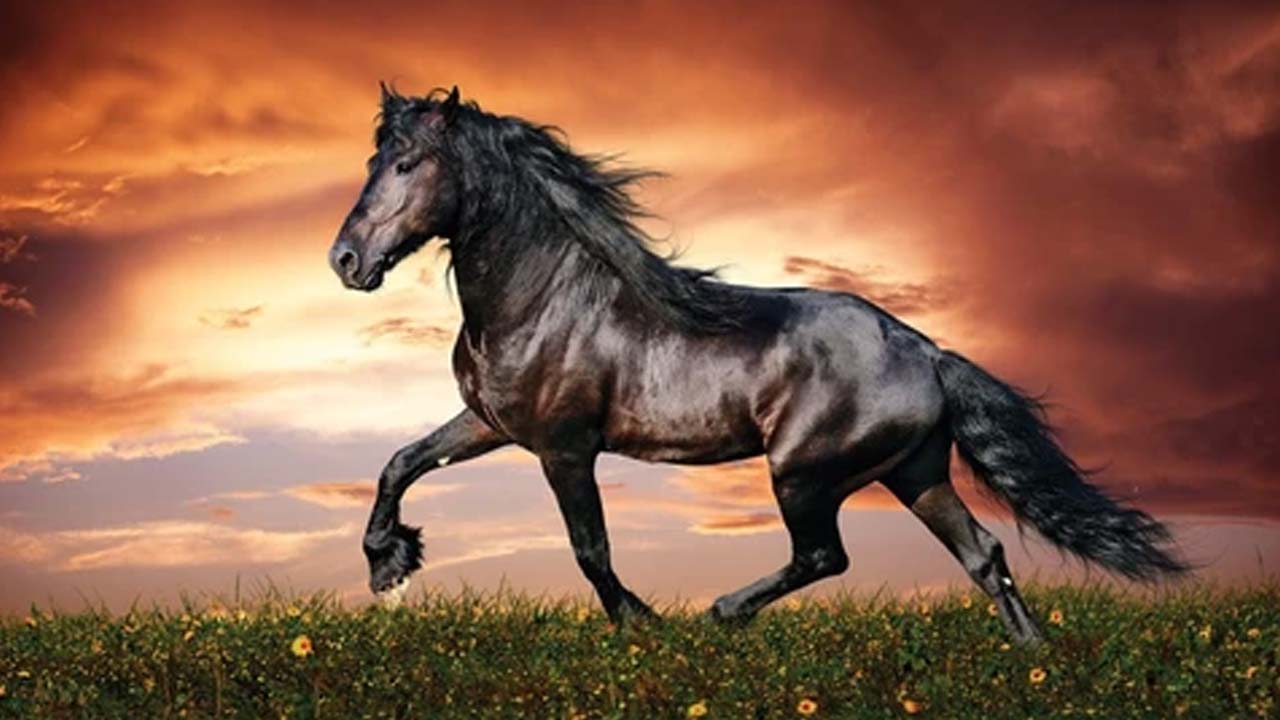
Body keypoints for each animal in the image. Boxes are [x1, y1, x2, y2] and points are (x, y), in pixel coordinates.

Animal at [328, 85, 1186, 644]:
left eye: (408, 163)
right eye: (374, 159)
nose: (346, 260)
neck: (544, 297)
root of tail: (928, 353)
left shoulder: (564, 447)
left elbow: (589, 549)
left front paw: (643, 625)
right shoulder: (492, 422)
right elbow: (400, 463)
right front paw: (388, 565)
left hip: (803, 472)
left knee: (825, 555)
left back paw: (721, 613)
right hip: (914, 472)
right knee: (984, 555)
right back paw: (1033, 659)